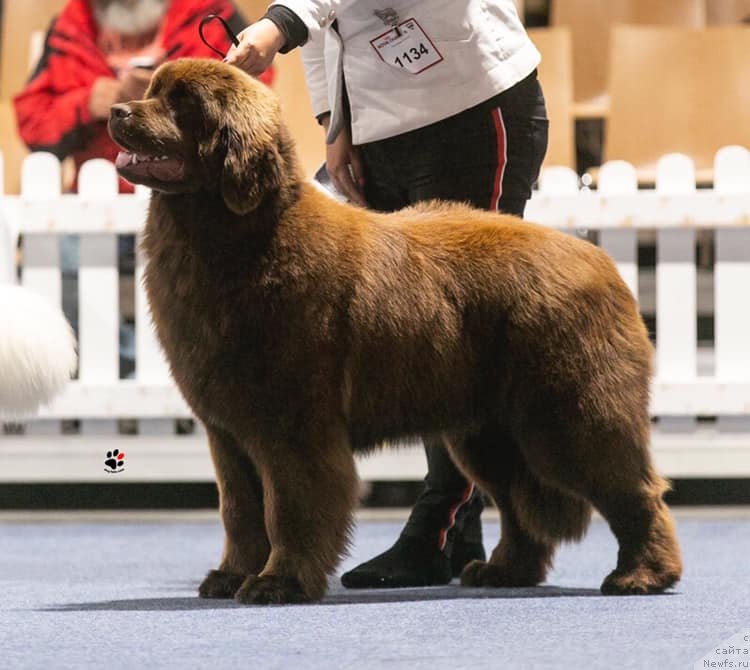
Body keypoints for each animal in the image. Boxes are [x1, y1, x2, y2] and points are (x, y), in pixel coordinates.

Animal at [108, 60, 684, 608]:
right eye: (152, 89)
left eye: (182, 103)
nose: (117, 110)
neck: (235, 239)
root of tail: (601, 261)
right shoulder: (227, 431)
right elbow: (240, 510)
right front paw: (231, 576)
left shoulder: (293, 425)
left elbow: (289, 508)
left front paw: (279, 583)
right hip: (489, 432)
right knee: (516, 504)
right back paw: (503, 572)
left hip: (571, 417)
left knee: (636, 492)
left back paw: (642, 575)